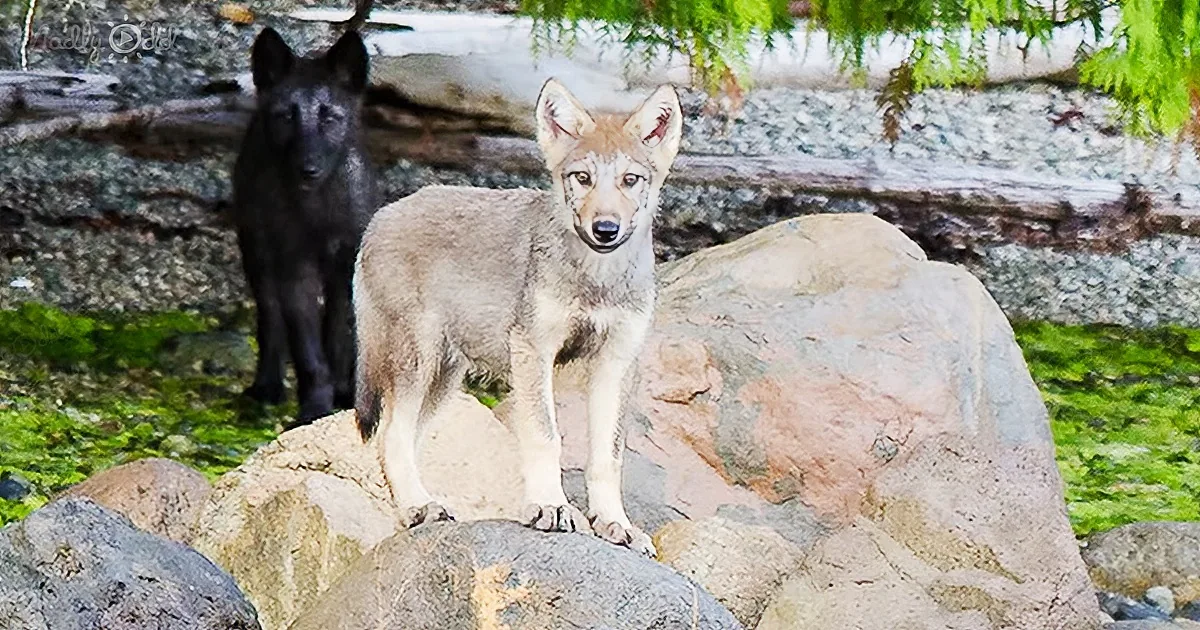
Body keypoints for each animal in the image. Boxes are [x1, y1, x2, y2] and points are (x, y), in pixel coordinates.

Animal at [232, 27, 381, 424]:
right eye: (286, 117)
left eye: (330, 118)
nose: (308, 168)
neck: (318, 212)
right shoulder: (294, 265)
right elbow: (308, 349)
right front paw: (314, 405)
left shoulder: (348, 262)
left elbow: (340, 333)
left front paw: (345, 393)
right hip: (256, 248)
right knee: (270, 317)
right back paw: (268, 385)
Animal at [353, 78, 683, 556]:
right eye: (582, 178)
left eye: (631, 180)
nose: (605, 229)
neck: (597, 278)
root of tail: (379, 217)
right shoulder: (534, 351)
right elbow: (546, 437)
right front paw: (551, 507)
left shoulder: (616, 363)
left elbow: (608, 456)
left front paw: (615, 524)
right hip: (418, 362)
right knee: (390, 436)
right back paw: (419, 508)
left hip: (443, 381)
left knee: (398, 439)